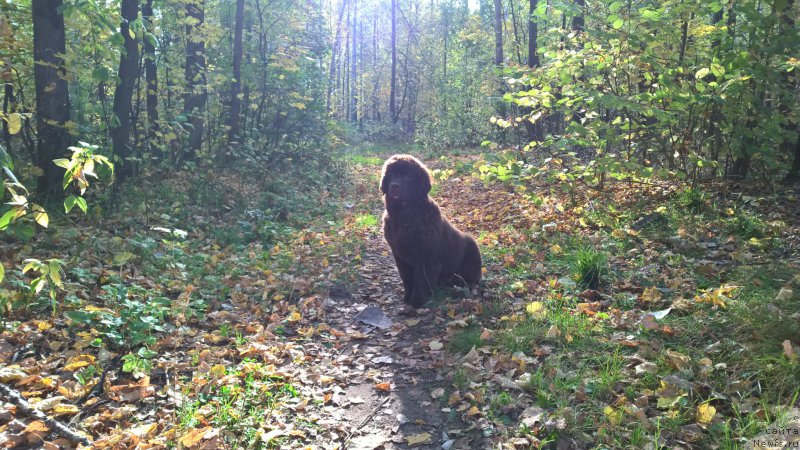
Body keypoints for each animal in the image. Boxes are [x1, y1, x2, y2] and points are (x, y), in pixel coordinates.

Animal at [382, 153, 482, 308]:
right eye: (391, 174)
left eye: (408, 176)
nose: (395, 186)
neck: (404, 216)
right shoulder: (399, 256)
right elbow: (407, 279)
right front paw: (407, 298)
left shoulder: (426, 257)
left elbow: (420, 280)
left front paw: (417, 301)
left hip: (472, 251)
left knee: (471, 279)